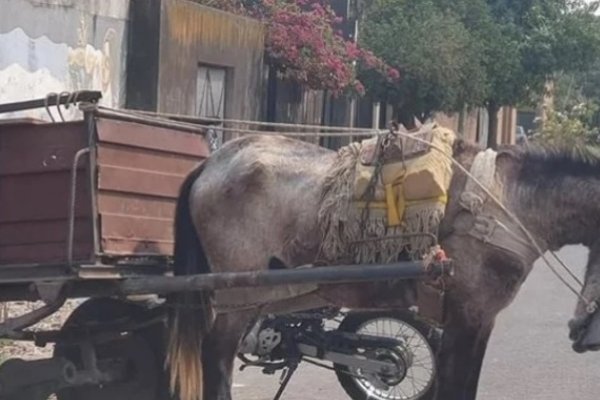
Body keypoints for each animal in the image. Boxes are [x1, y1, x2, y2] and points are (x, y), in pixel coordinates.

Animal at [164, 132, 600, 400]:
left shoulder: (477, 320)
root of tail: (213, 163)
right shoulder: (467, 315)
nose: (579, 331)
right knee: (216, 356)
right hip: (239, 292)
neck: (507, 205)